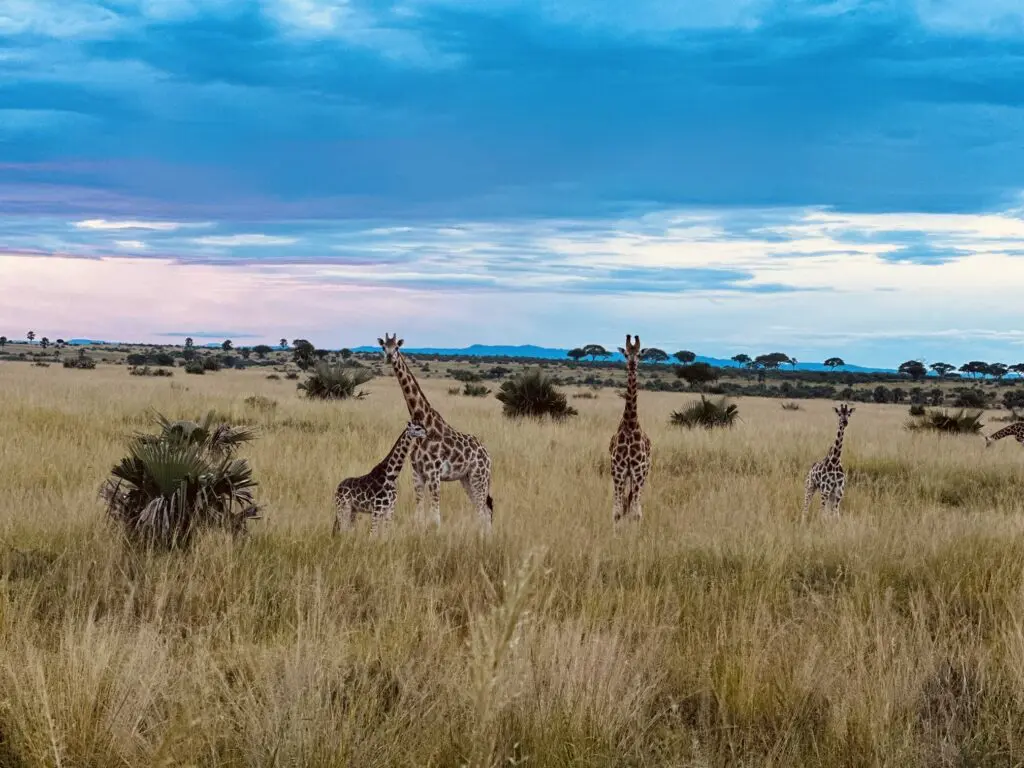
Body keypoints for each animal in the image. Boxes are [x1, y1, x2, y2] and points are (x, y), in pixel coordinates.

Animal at [378, 333, 494, 528]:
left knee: (483, 511)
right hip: (466, 478)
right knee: (483, 511)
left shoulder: (434, 474)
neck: (423, 421)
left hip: (479, 477)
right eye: (383, 347)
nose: (389, 356)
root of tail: (488, 455)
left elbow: (435, 517)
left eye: (397, 347)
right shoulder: (417, 474)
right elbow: (419, 514)